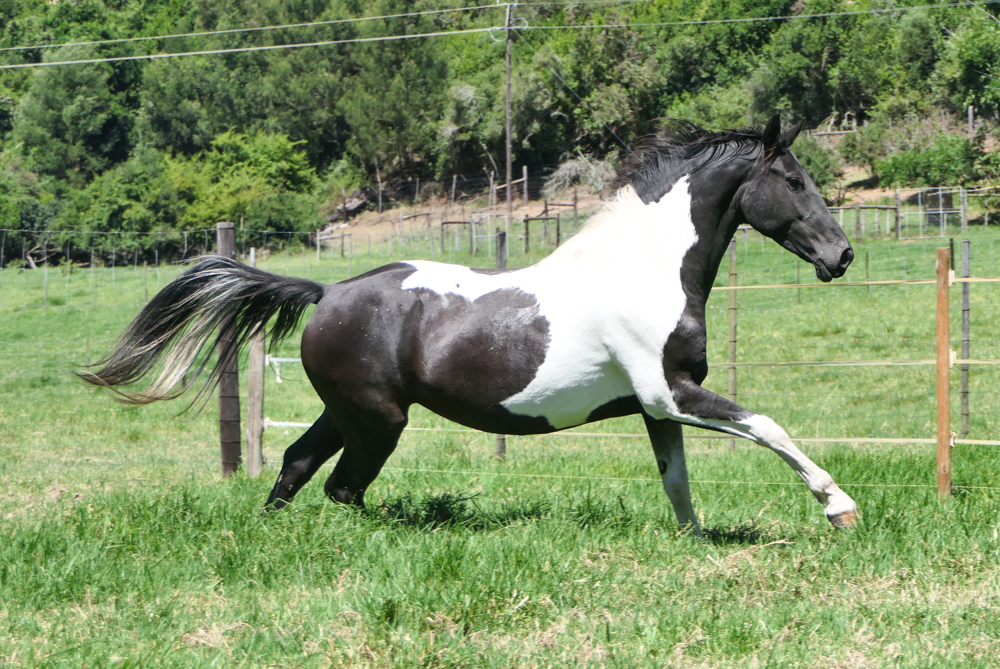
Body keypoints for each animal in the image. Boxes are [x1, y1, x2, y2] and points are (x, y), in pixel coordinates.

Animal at [80, 115, 858, 535]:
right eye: (793, 180)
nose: (841, 254)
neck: (644, 270)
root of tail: (327, 291)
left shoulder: (656, 405)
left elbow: (677, 481)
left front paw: (692, 539)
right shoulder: (670, 392)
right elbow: (768, 426)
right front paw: (839, 507)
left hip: (348, 412)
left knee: (298, 465)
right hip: (378, 421)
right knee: (343, 487)